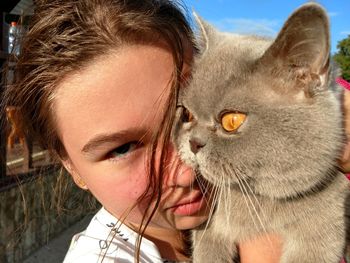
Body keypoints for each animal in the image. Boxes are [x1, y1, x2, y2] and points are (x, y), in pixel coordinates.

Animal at [174, 2, 350, 263]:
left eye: (232, 121)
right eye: (187, 114)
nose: (193, 143)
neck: (258, 201)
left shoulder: (323, 231)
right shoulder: (211, 226)